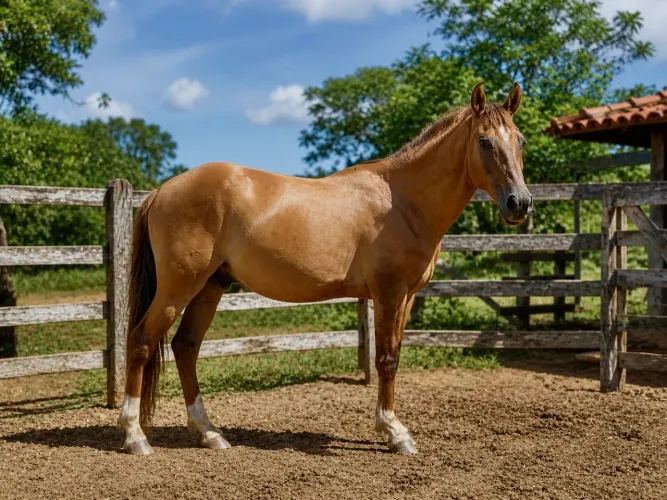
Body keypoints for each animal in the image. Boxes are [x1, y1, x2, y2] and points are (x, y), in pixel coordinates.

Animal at [117, 82, 532, 456]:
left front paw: (391, 428)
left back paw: (210, 433)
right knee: (140, 342)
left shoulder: (408, 297)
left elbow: (394, 356)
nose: (520, 203)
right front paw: (395, 433)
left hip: (210, 287)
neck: (403, 201)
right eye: (484, 141)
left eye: (521, 141)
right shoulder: (390, 293)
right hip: (178, 288)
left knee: (185, 347)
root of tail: (161, 191)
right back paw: (135, 437)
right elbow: (386, 359)